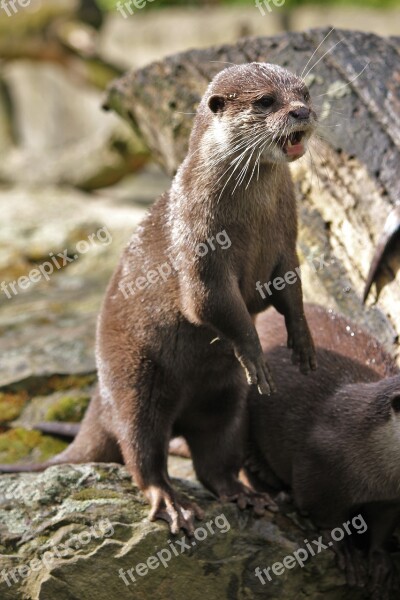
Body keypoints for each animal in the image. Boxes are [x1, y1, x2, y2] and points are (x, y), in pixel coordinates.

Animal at [0, 63, 318, 536]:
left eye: (305, 92)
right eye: (266, 101)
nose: (301, 111)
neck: (254, 216)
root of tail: (99, 399)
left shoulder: (285, 242)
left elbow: (292, 292)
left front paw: (303, 342)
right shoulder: (200, 245)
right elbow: (210, 303)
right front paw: (257, 355)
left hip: (226, 397)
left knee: (215, 457)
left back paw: (245, 495)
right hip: (133, 379)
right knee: (142, 450)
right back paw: (172, 503)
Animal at [247, 304, 400, 600]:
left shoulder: (389, 498)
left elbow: (383, 524)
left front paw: (380, 561)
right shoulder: (317, 464)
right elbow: (324, 513)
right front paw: (346, 551)